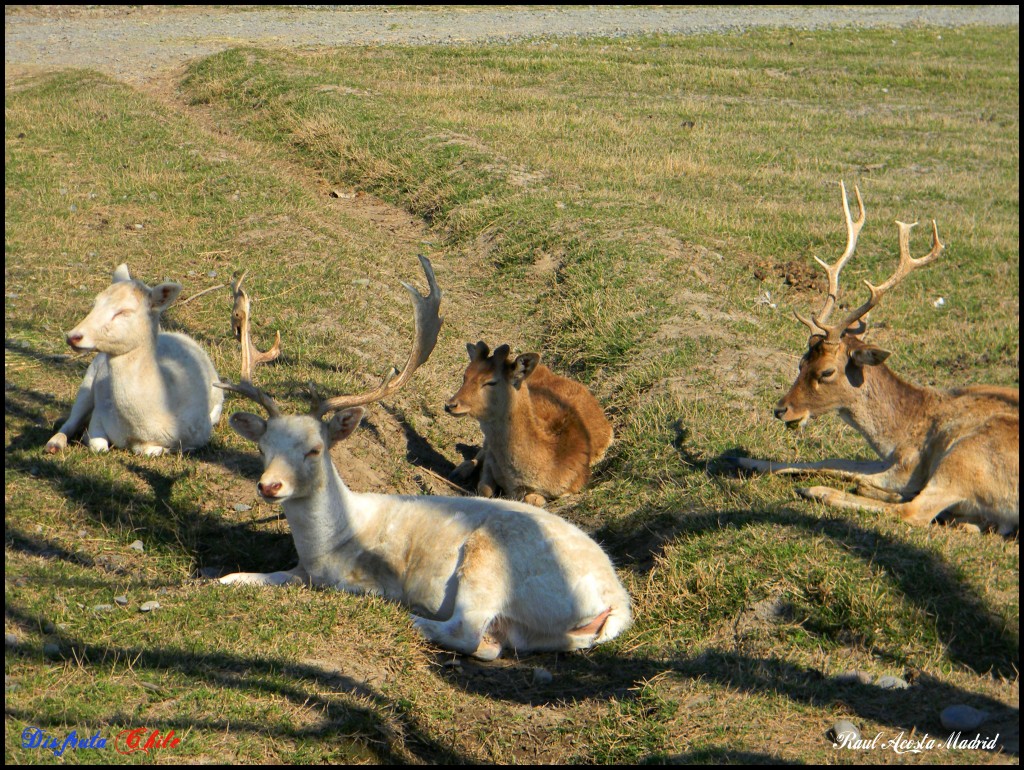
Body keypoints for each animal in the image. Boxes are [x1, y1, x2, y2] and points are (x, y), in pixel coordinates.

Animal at [44, 264, 228, 456]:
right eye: (95, 303)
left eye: (123, 311)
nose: (73, 336)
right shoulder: (100, 415)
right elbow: (98, 446)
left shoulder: (200, 435)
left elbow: (150, 450)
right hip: (89, 379)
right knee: (72, 419)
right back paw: (54, 443)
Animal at [442, 341, 614, 507]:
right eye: (465, 375)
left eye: (491, 382)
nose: (450, 405)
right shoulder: (491, 461)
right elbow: (485, 489)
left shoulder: (576, 482)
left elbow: (534, 500)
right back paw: (459, 471)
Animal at [737, 184, 1015, 536]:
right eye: (800, 362)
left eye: (826, 372)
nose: (781, 409)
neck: (898, 434)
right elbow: (835, 461)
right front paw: (746, 460)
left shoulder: (910, 464)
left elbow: (844, 469)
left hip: (966, 457)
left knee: (914, 511)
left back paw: (819, 492)